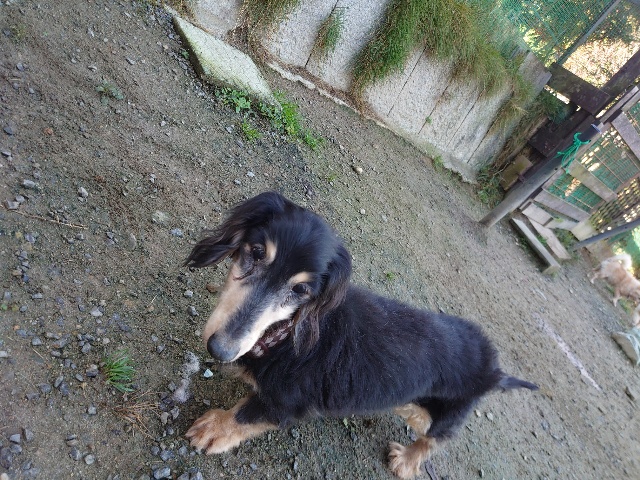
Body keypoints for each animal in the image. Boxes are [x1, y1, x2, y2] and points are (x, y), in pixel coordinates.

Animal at [184, 192, 538, 479]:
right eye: (257, 252)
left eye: (300, 290)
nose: (220, 349)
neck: (285, 333)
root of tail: (495, 368)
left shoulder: (286, 403)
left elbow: (245, 415)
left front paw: (215, 428)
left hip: (445, 413)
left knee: (436, 439)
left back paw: (407, 461)